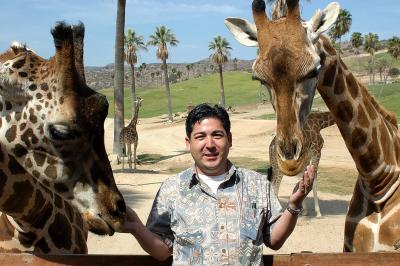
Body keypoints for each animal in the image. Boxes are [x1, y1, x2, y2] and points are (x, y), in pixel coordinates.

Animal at [227, 0, 400, 251]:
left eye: (314, 70)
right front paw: (313, 211)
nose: (289, 159)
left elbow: (310, 180)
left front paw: (310, 210)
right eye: (258, 78)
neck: (378, 178)